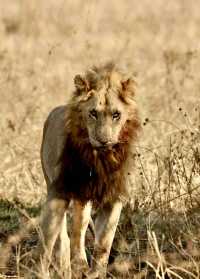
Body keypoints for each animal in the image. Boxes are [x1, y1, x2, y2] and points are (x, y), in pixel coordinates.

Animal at [39, 62, 141, 278]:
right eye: (93, 113)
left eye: (116, 114)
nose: (104, 140)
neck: (99, 159)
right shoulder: (67, 192)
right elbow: (61, 237)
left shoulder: (114, 197)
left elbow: (104, 243)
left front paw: (96, 271)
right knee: (63, 236)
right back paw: (66, 267)